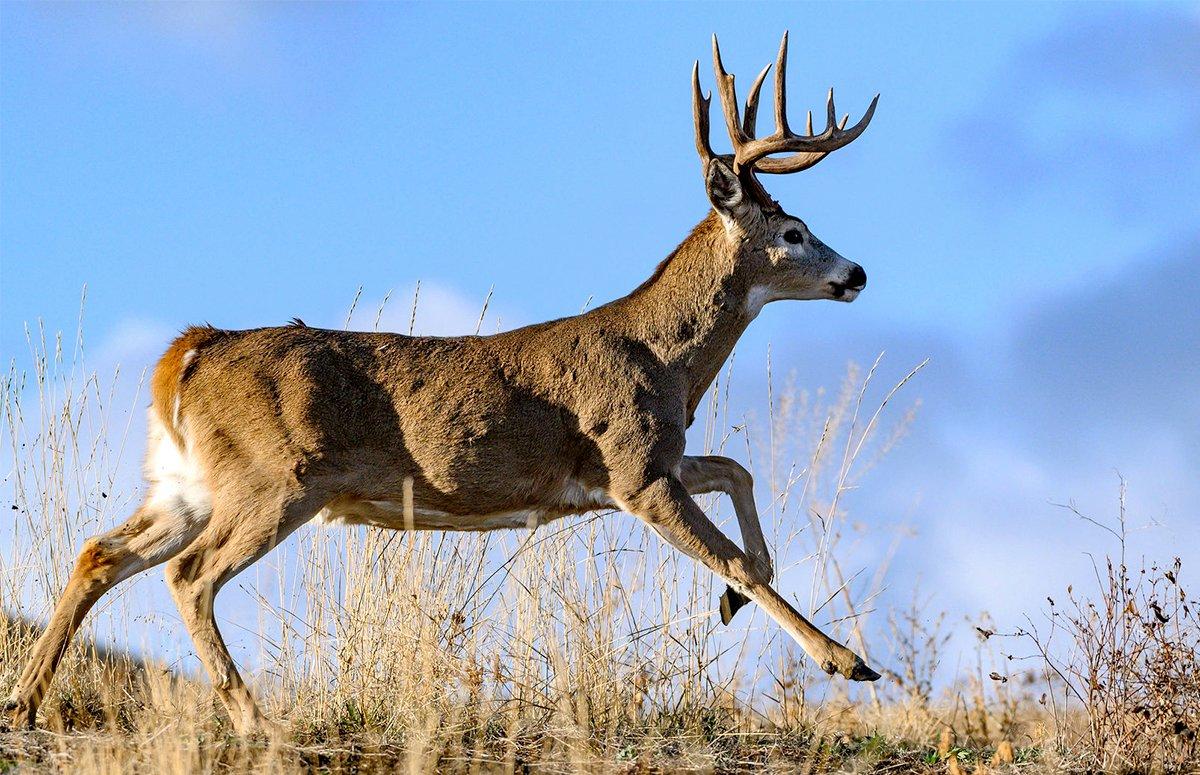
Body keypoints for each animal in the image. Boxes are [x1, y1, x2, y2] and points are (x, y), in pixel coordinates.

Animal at [2, 31, 883, 734]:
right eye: (792, 230)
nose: (857, 273)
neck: (661, 357)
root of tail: (189, 351)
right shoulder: (632, 466)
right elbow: (732, 553)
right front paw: (845, 659)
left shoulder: (644, 463)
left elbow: (739, 471)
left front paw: (744, 605)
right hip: (273, 476)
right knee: (189, 576)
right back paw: (255, 718)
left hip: (186, 480)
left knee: (101, 552)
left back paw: (26, 697)